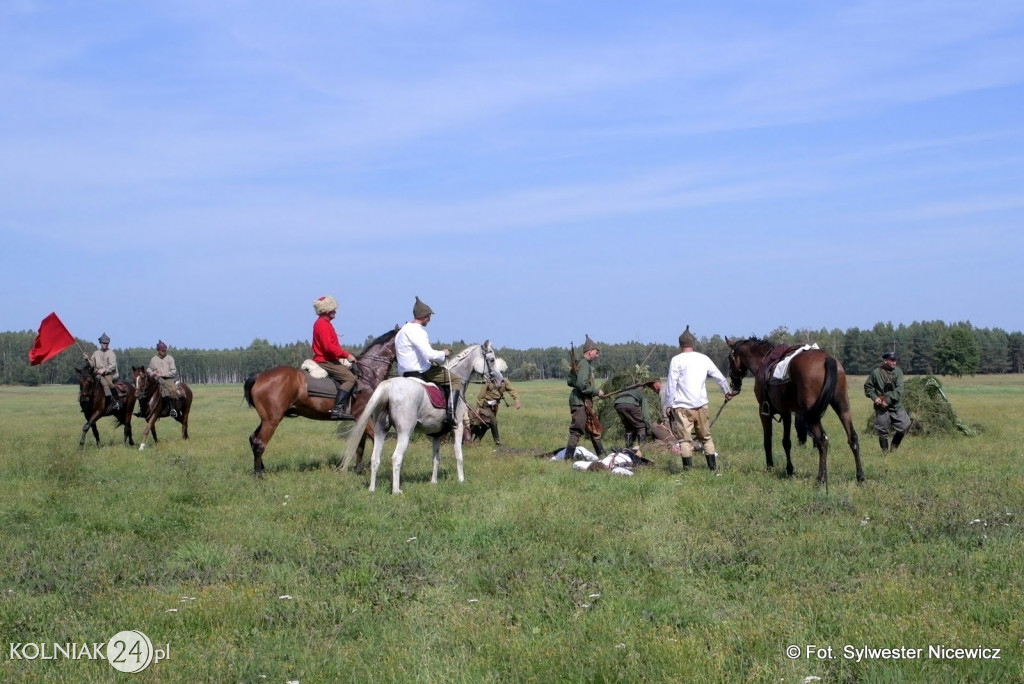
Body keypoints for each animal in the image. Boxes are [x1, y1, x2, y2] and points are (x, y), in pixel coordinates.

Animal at [241, 325, 397, 475]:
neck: (367, 374)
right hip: (272, 420)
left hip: (266, 419)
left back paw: (261, 469)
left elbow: (360, 445)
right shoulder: (361, 416)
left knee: (253, 438)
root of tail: (259, 376)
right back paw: (259, 475)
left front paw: (358, 470)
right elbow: (374, 439)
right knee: (259, 443)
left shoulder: (362, 418)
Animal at [339, 339, 503, 491]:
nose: (500, 380)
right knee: (396, 457)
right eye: (492, 359)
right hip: (404, 432)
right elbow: (459, 456)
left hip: (380, 430)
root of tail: (390, 385)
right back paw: (396, 490)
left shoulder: (437, 434)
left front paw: (434, 482)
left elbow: (436, 458)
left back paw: (372, 489)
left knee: (375, 458)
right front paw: (461, 480)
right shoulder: (459, 428)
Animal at [720, 339, 864, 483]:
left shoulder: (764, 412)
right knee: (852, 437)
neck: (762, 362)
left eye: (730, 358)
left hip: (811, 415)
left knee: (822, 441)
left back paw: (821, 479)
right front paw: (789, 470)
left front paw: (770, 467)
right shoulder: (786, 413)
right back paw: (860, 476)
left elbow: (768, 441)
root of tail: (827, 358)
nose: (734, 385)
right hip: (842, 408)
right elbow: (786, 442)